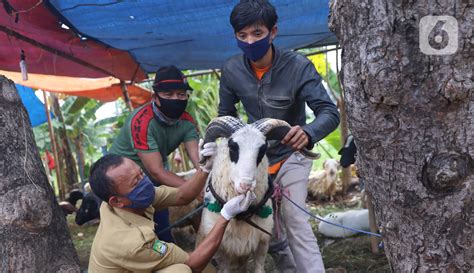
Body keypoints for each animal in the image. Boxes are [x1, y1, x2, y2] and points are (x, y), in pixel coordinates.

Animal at [196, 115, 318, 272]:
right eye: (232, 147)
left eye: (262, 150)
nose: (246, 185)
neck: (241, 217)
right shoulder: (222, 251)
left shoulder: (262, 243)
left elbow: (259, 268)